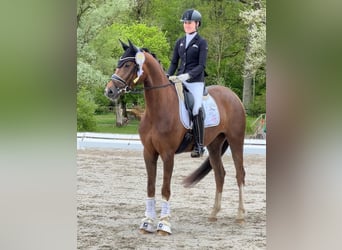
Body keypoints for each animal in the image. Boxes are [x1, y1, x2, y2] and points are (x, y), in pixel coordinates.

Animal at [104, 40, 246, 235]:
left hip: (235, 140)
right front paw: (147, 223)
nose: (109, 91)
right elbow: (150, 187)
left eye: (127, 65)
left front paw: (164, 225)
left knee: (240, 174)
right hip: (214, 145)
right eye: (119, 63)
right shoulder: (149, 153)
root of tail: (233, 95)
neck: (158, 108)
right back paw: (213, 213)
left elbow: (165, 188)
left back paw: (240, 215)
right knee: (220, 174)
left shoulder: (167, 154)